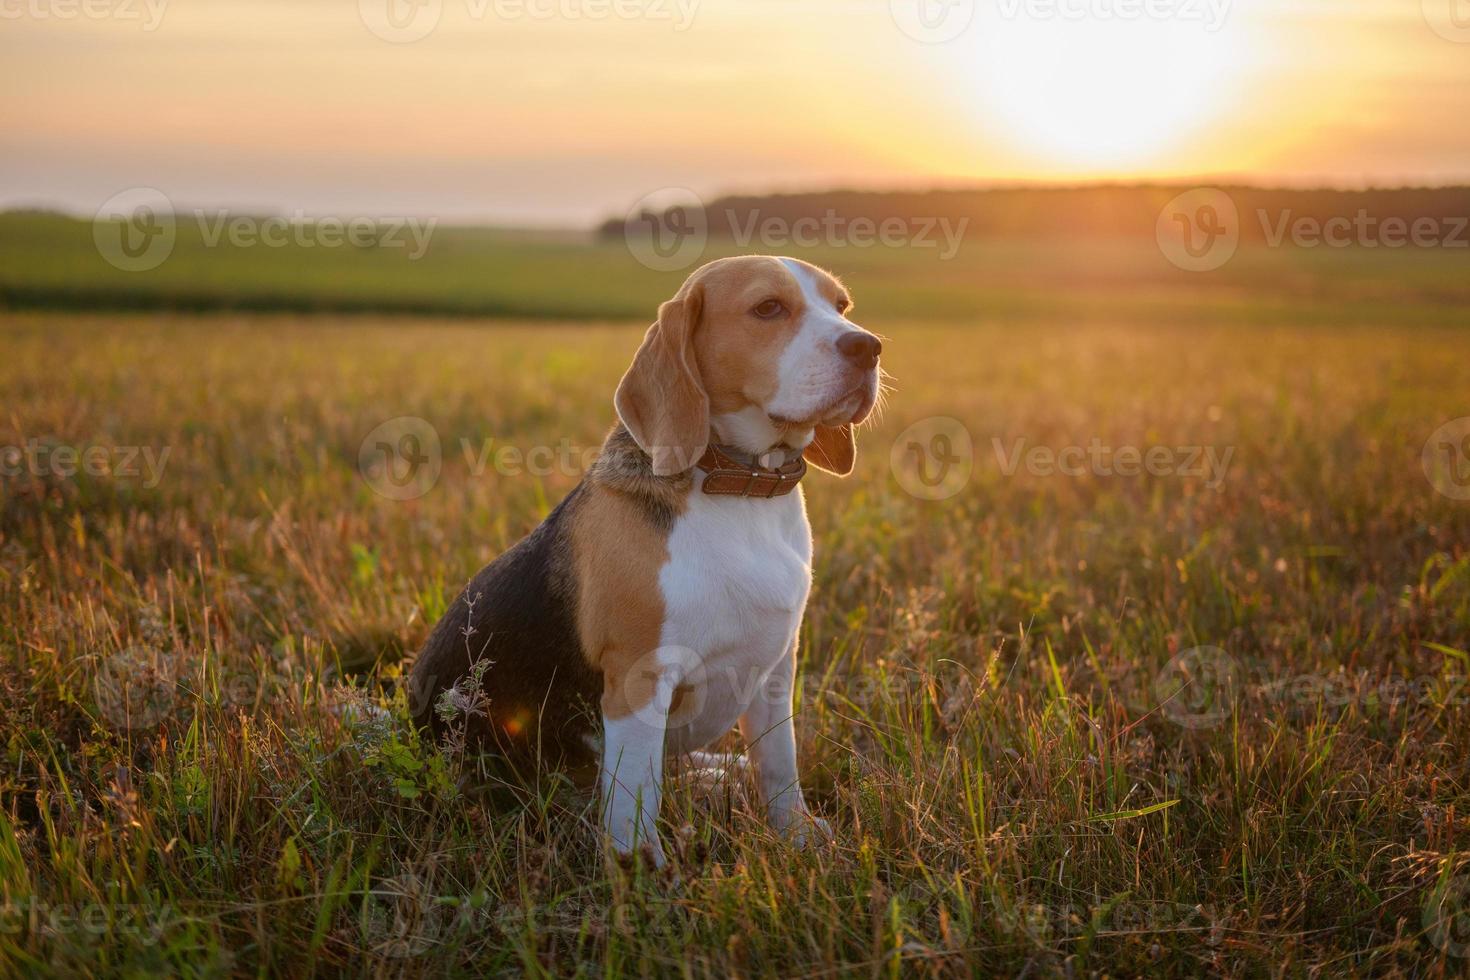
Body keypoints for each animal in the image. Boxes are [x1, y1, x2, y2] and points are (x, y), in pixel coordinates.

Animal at [408, 255, 876, 863]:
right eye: (768, 308)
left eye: (841, 306)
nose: (869, 347)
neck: (742, 489)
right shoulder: (638, 677)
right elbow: (636, 795)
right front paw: (640, 868)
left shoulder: (777, 668)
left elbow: (779, 763)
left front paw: (794, 834)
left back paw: (715, 769)